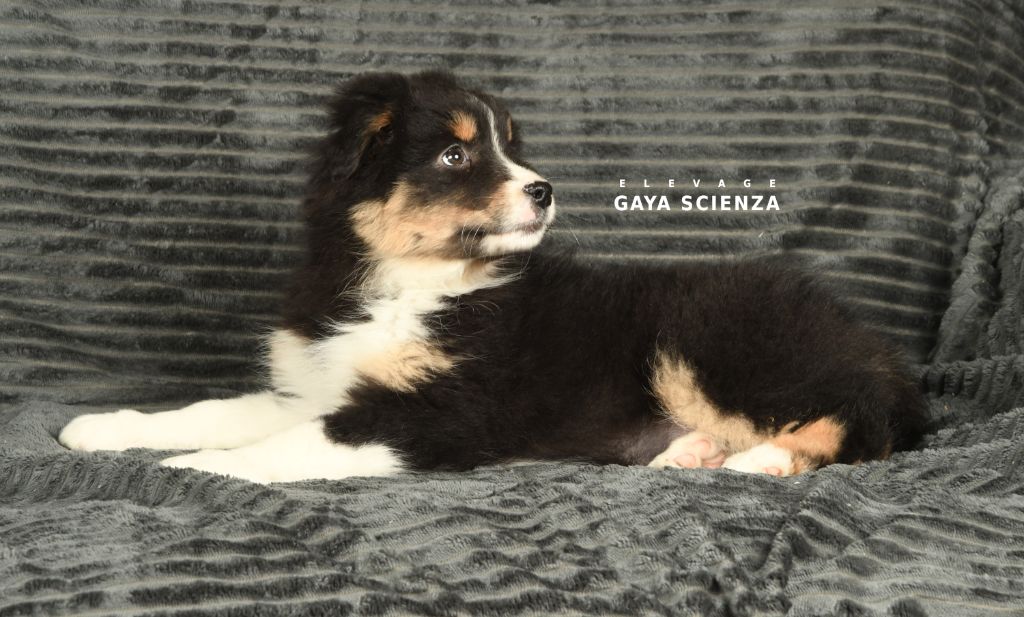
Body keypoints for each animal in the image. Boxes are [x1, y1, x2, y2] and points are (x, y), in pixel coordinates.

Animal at [59, 70, 927, 483]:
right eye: (455, 153)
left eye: (509, 145)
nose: (544, 188)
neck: (405, 281)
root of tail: (872, 343)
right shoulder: (314, 386)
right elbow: (213, 409)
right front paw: (99, 429)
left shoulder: (440, 409)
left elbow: (285, 446)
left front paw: (193, 470)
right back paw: (694, 453)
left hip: (709, 337)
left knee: (856, 420)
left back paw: (759, 461)